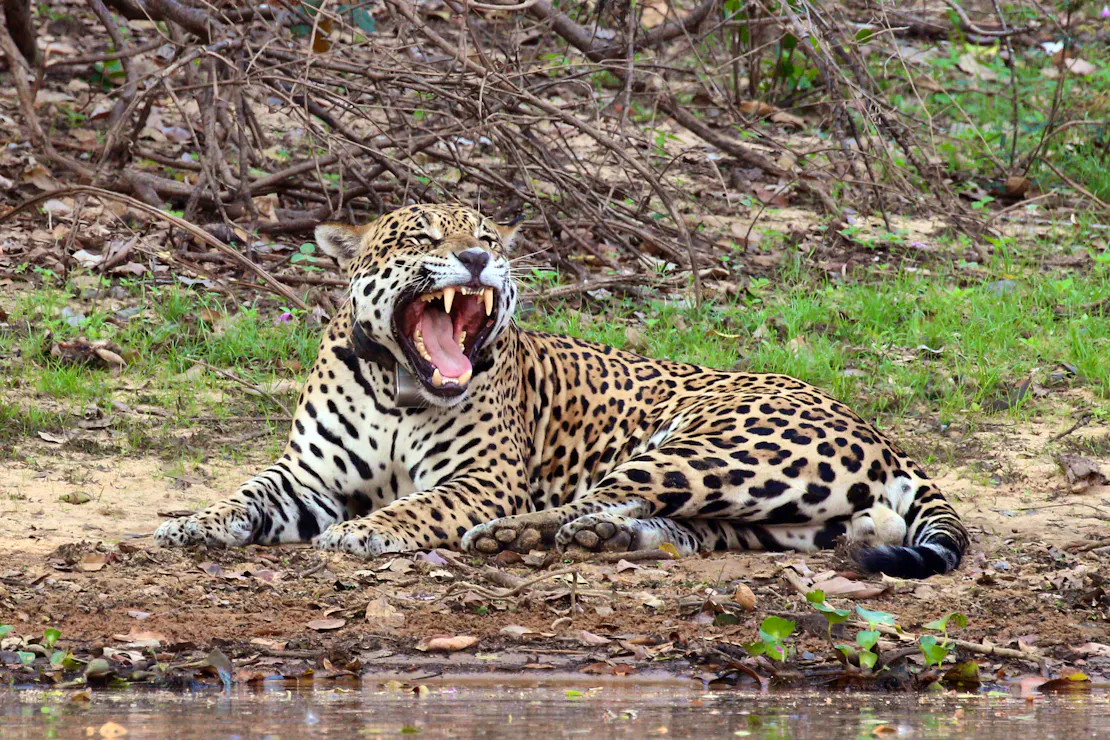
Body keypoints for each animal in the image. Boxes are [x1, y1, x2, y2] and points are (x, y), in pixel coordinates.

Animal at [155, 204, 969, 578]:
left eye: (485, 235)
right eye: (421, 238)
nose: (477, 258)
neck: (397, 386)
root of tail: (879, 430)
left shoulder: (483, 480)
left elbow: (422, 505)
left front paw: (366, 530)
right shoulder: (307, 477)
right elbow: (248, 492)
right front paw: (191, 522)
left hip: (710, 449)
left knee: (592, 500)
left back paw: (517, 537)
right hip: (774, 516)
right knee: (680, 528)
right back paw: (607, 540)